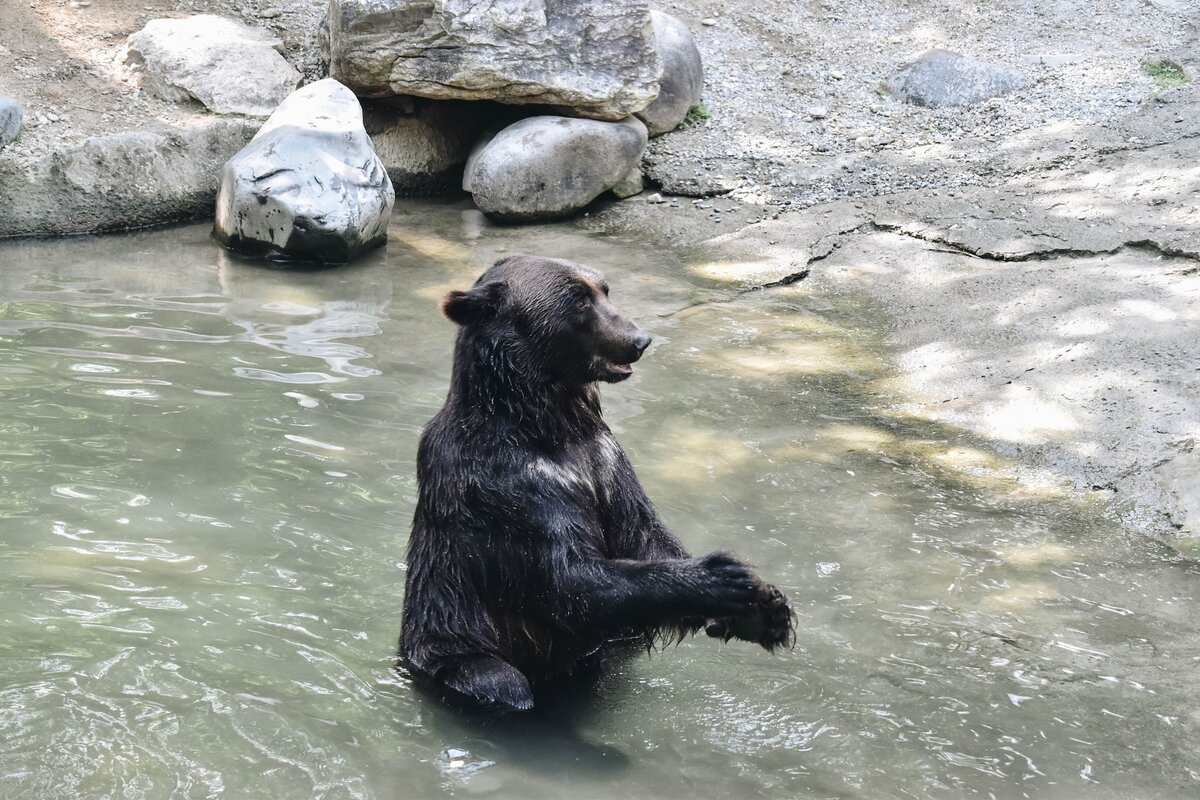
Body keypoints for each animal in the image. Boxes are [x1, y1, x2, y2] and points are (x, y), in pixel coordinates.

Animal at [403, 256, 796, 714]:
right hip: (454, 647)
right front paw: (725, 577)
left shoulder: (604, 459)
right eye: (577, 300)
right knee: (502, 681)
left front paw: (767, 609)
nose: (639, 339)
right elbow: (568, 579)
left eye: (604, 288)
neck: (547, 422)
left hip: (616, 640)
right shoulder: (507, 484)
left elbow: (642, 536)